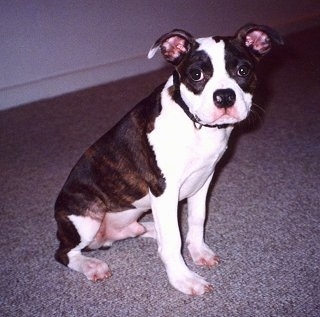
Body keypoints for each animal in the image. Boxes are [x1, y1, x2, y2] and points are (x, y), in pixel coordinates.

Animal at [55, 24, 282, 294]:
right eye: (196, 74)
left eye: (243, 70)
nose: (225, 97)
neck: (195, 124)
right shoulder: (164, 189)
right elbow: (173, 240)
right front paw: (184, 278)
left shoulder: (204, 179)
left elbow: (197, 218)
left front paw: (198, 251)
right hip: (86, 217)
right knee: (65, 253)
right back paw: (91, 265)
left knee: (137, 229)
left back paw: (148, 228)